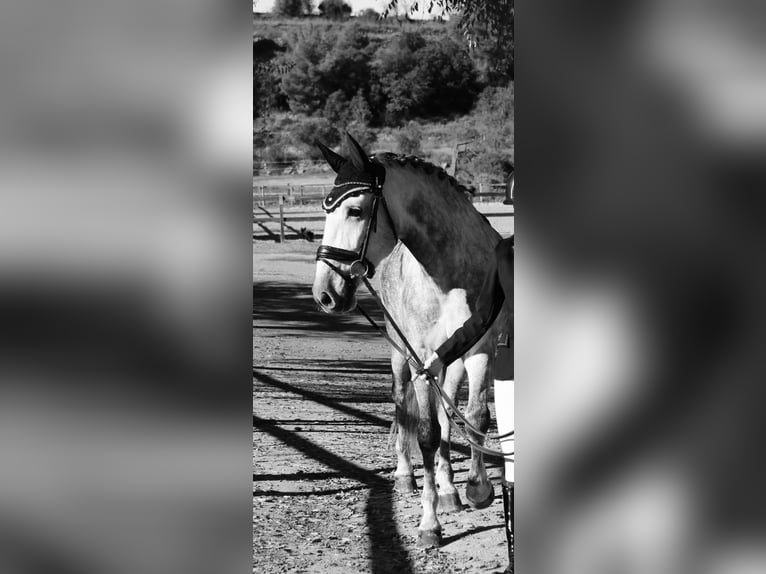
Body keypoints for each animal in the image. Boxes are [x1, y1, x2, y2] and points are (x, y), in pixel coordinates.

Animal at [311, 133, 507, 547]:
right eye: (325, 210)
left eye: (355, 210)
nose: (325, 294)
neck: (447, 275)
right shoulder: (421, 360)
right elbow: (427, 434)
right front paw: (429, 524)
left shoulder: (479, 349)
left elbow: (475, 416)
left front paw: (477, 489)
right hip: (400, 355)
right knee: (402, 405)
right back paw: (406, 476)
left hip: (451, 361)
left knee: (448, 414)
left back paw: (450, 490)